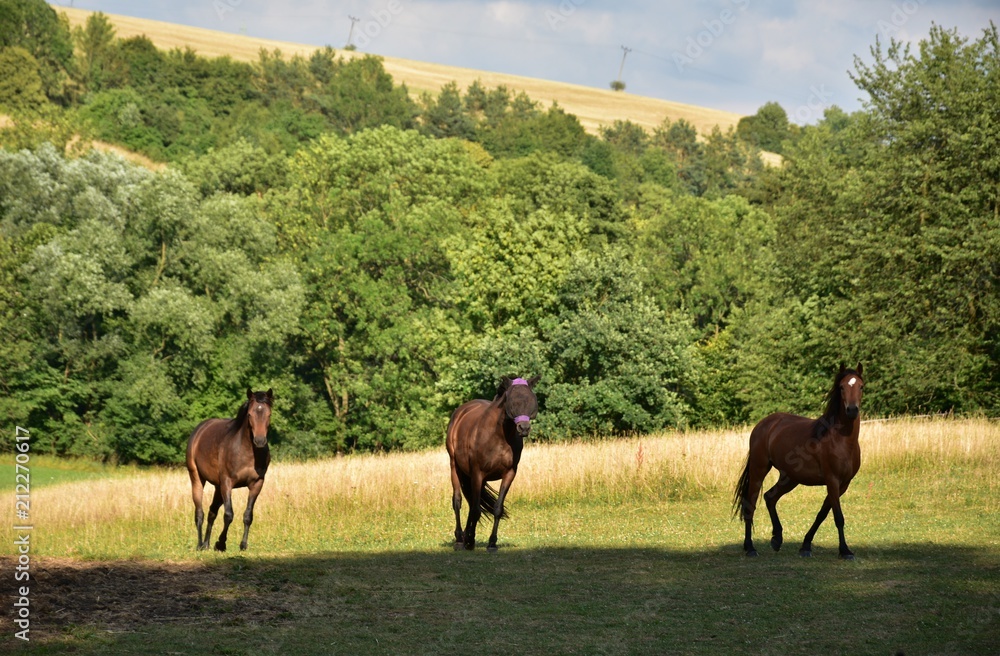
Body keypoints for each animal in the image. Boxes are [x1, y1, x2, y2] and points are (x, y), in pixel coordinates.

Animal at [186, 388, 272, 551]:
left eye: (269, 414)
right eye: (250, 414)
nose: (259, 441)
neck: (246, 451)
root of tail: (199, 429)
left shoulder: (257, 484)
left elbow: (248, 515)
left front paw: (243, 544)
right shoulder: (227, 483)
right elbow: (228, 514)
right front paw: (221, 543)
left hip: (218, 487)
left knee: (212, 512)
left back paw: (206, 543)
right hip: (197, 479)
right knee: (199, 513)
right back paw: (200, 544)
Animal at [446, 375, 540, 551]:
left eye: (532, 399)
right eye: (512, 400)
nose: (524, 428)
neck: (499, 436)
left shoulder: (509, 474)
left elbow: (496, 508)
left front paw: (491, 543)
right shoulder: (477, 473)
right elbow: (475, 509)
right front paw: (470, 540)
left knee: (472, 504)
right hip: (455, 467)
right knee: (458, 501)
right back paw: (460, 540)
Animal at [732, 364, 865, 559]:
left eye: (861, 387)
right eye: (841, 387)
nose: (852, 410)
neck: (841, 440)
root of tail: (763, 424)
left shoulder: (843, 484)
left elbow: (822, 514)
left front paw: (806, 546)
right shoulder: (832, 481)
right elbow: (838, 517)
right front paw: (845, 550)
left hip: (790, 478)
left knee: (770, 497)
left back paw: (777, 539)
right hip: (759, 469)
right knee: (751, 503)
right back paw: (750, 547)